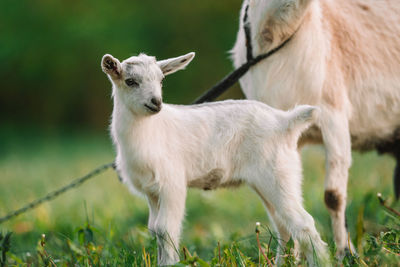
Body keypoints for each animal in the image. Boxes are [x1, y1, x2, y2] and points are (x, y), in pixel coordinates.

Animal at [101, 51, 328, 266]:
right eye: (130, 81)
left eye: (161, 79)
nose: (156, 103)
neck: (150, 131)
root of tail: (285, 121)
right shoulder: (152, 192)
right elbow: (154, 229)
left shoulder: (172, 185)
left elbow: (165, 229)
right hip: (273, 181)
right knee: (284, 227)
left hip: (277, 175)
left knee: (303, 223)